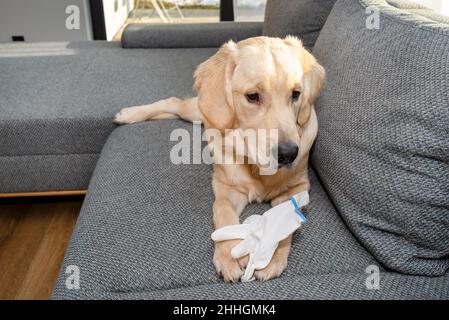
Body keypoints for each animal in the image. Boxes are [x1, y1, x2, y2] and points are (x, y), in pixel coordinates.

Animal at [114, 36, 326, 282]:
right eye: (252, 96)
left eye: (295, 94)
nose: (288, 154)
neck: (255, 167)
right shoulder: (226, 187)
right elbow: (223, 210)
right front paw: (229, 252)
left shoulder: (298, 187)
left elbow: (287, 214)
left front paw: (273, 248)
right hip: (201, 110)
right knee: (174, 102)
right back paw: (129, 114)